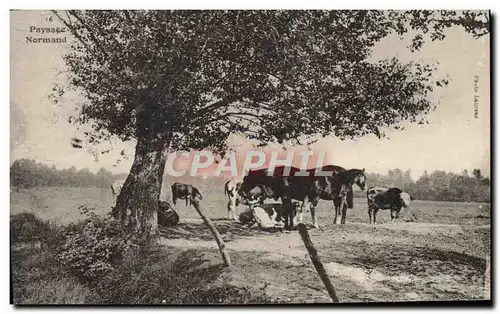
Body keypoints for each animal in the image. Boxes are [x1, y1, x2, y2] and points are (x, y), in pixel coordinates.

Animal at [238, 166, 368, 229]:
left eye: (246, 178)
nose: (240, 191)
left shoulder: (286, 196)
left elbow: (288, 210)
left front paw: (290, 225)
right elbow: (288, 210)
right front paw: (289, 225)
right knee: (313, 208)